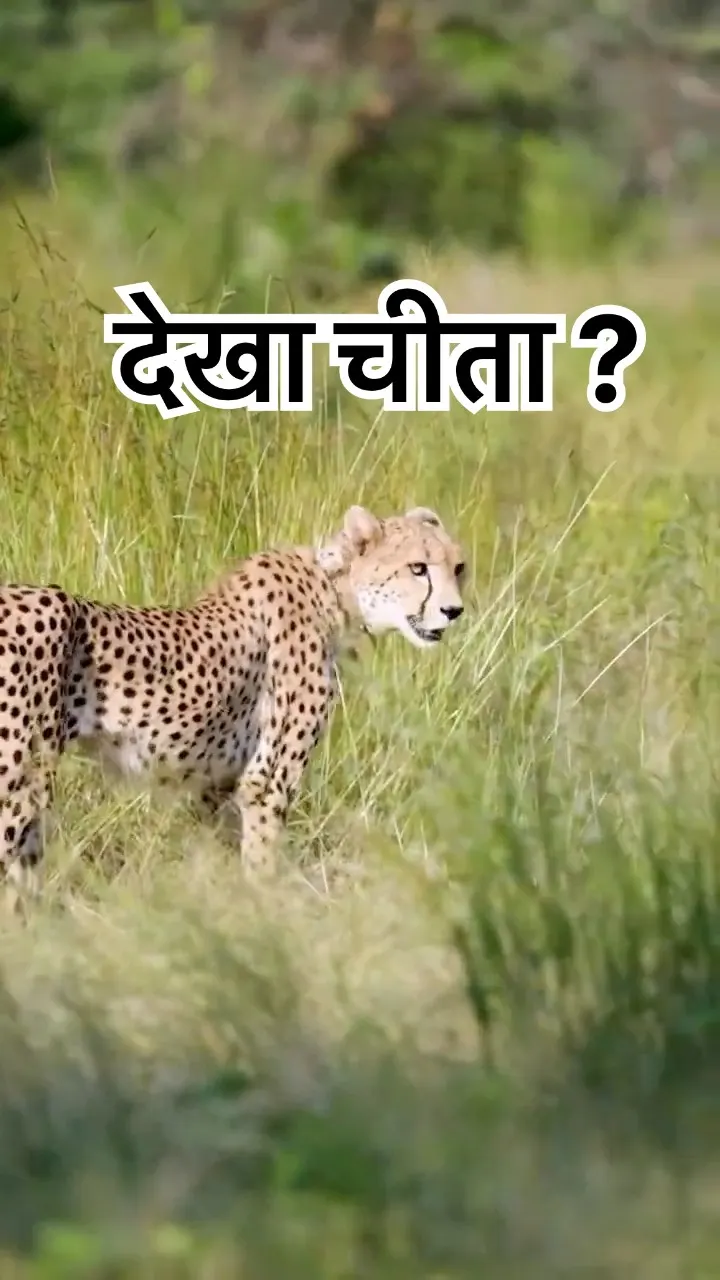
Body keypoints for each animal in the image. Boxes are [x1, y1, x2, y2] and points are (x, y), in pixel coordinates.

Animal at [0, 503, 466, 908]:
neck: (336, 589)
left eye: (458, 567)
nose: (454, 610)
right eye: (418, 568)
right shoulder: (268, 779)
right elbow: (262, 858)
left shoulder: (217, 784)